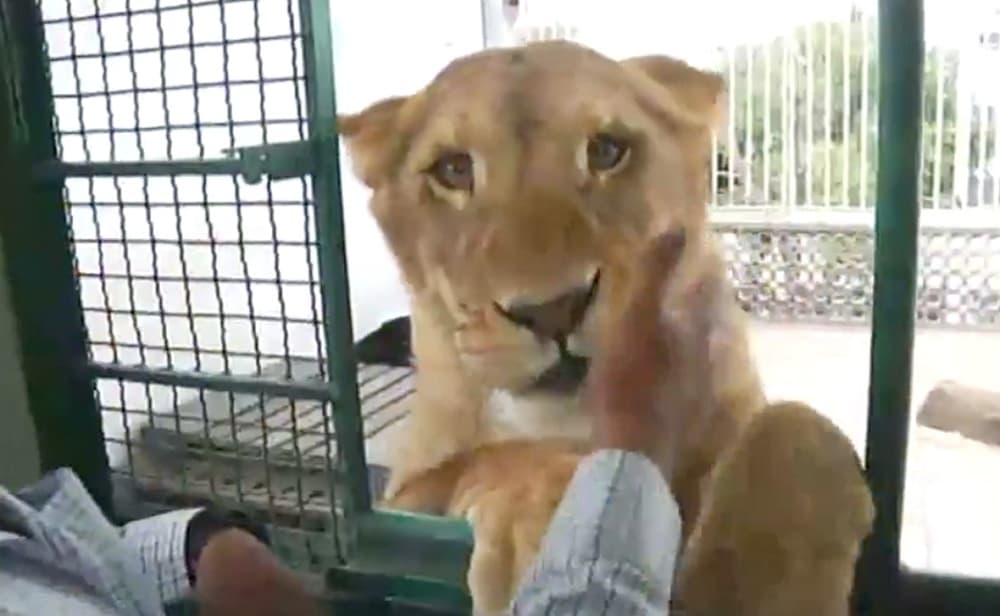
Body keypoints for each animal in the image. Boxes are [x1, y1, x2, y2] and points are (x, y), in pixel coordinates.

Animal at [339, 40, 873, 615]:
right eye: (454, 169)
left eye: (607, 151)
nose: (553, 309)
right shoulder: (396, 503)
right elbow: (488, 460)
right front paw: (545, 515)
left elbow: (797, 427)